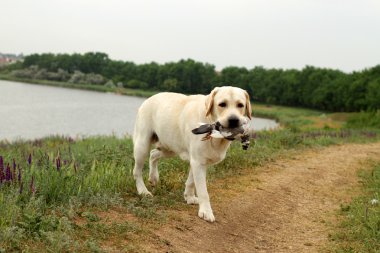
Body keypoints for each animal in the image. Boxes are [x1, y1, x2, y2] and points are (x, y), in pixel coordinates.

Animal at [134, 86, 252, 221]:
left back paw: (153, 177)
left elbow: (191, 181)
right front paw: (206, 211)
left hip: (170, 147)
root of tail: (149, 98)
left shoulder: (197, 161)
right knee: (137, 171)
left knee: (153, 154)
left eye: (240, 105)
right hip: (142, 145)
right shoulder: (198, 161)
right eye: (222, 104)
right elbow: (203, 191)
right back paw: (143, 191)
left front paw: (189, 197)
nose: (233, 120)